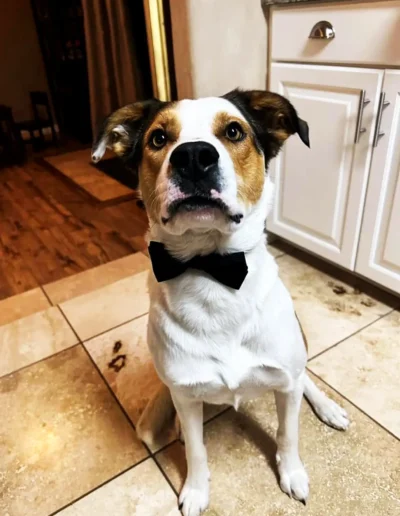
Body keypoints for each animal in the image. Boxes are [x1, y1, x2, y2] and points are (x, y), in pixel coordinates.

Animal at [92, 90, 348, 516]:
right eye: (159, 138)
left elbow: (288, 433)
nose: (194, 156)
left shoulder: (286, 381)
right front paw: (196, 490)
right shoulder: (185, 394)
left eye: (233, 131)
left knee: (304, 380)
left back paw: (327, 407)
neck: (212, 270)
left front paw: (292, 473)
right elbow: (196, 450)